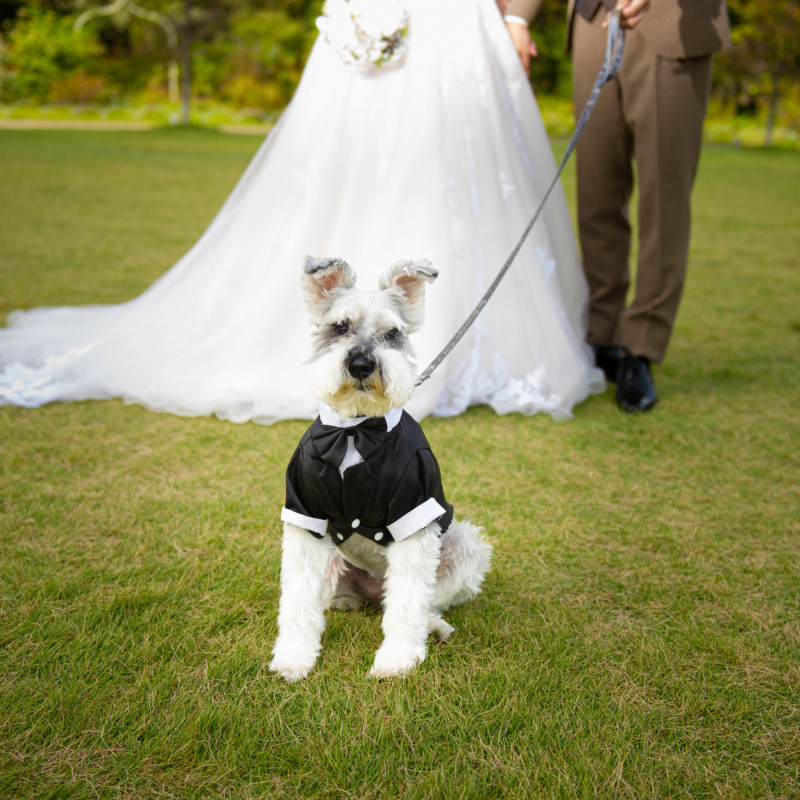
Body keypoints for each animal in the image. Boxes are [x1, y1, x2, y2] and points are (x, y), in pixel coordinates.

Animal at [268, 258, 490, 680]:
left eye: (391, 334)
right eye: (340, 327)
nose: (361, 364)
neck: (356, 430)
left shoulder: (414, 519)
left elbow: (408, 603)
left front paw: (397, 661)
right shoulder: (306, 519)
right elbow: (298, 599)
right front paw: (293, 657)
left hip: (463, 543)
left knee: (424, 601)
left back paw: (433, 627)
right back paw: (344, 602)